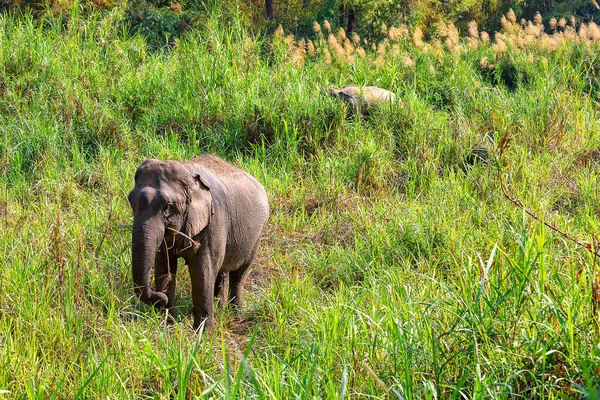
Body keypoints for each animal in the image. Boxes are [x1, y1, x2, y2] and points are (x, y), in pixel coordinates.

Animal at [128, 153, 270, 328]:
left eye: (167, 206)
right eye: (130, 201)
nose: (160, 299)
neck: (188, 173)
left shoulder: (214, 220)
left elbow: (202, 271)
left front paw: (203, 332)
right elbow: (164, 265)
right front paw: (168, 325)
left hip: (257, 235)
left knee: (239, 274)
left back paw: (236, 315)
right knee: (221, 272)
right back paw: (219, 310)